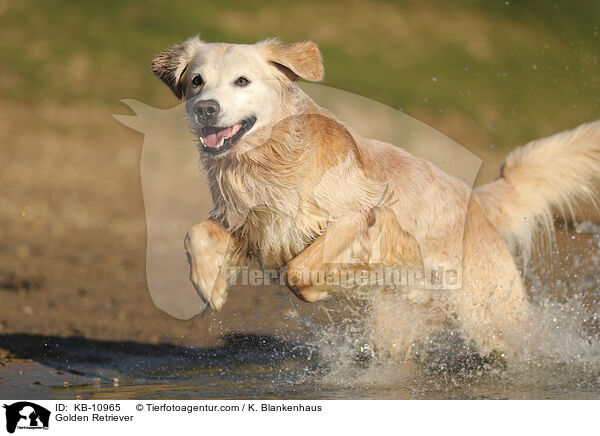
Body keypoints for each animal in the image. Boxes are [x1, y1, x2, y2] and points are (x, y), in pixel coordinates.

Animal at [152, 38, 600, 362]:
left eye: (242, 81)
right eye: (197, 81)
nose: (206, 109)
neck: (268, 159)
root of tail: (476, 201)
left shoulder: (355, 217)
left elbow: (299, 269)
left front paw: (319, 291)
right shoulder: (252, 225)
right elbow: (195, 233)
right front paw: (211, 286)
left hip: (494, 312)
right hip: (397, 322)